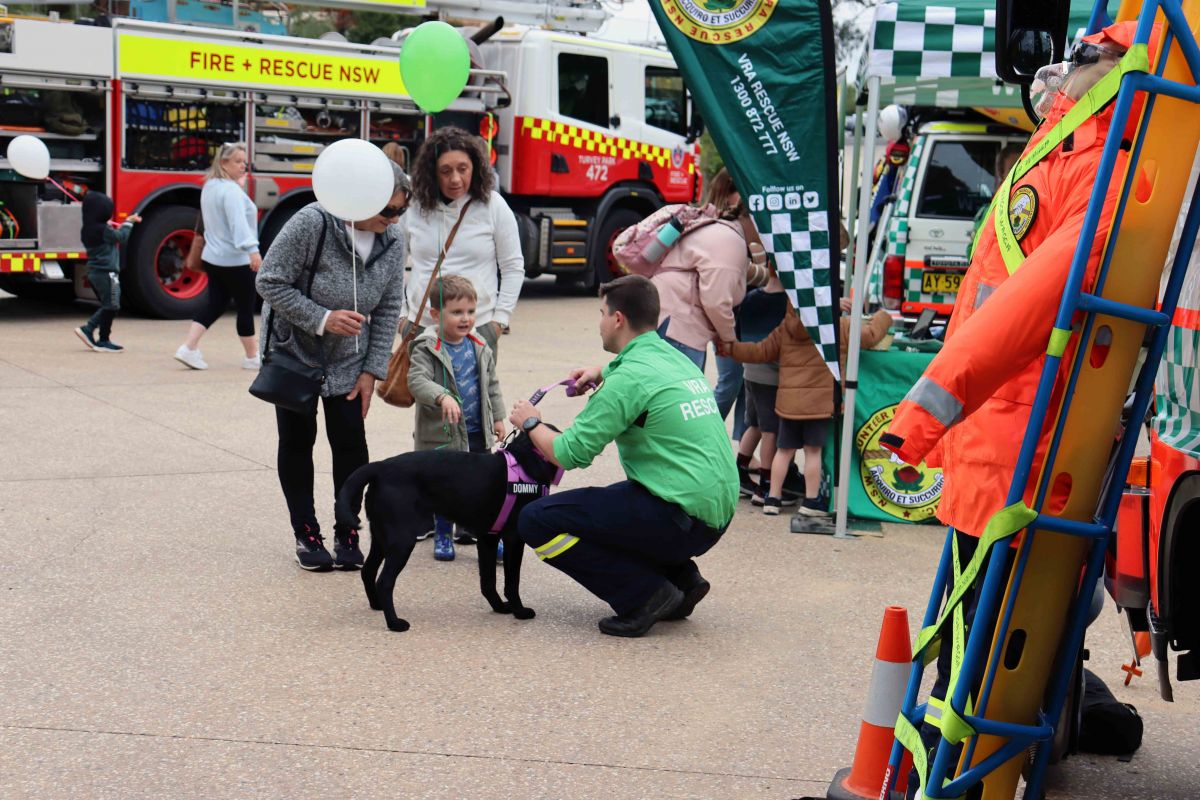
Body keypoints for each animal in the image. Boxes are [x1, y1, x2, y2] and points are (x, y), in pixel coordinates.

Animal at [336, 431, 559, 633]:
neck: (524, 460)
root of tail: (380, 466)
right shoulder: (513, 538)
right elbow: (512, 582)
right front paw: (519, 611)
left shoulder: (487, 538)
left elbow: (488, 581)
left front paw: (499, 607)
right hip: (401, 541)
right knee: (384, 581)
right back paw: (394, 623)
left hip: (381, 537)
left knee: (368, 571)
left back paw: (377, 605)